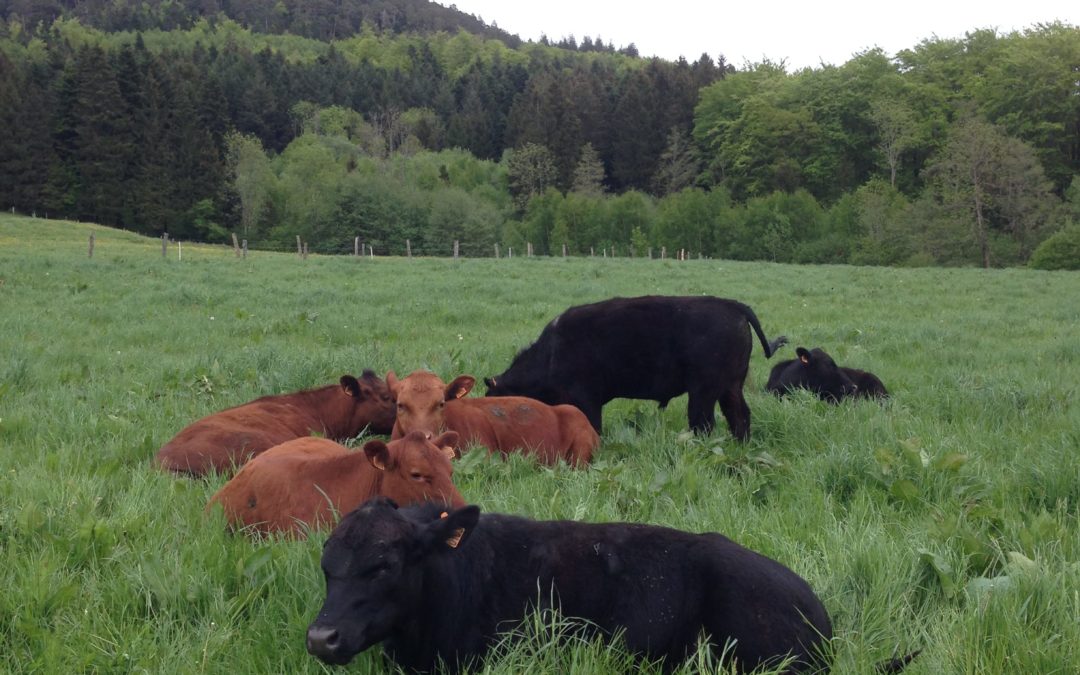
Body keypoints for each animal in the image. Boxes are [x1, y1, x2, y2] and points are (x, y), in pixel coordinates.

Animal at [483, 293, 786, 436]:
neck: (551, 352)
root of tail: (733, 306)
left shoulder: (586, 399)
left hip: (704, 392)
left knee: (704, 423)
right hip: (730, 387)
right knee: (739, 417)